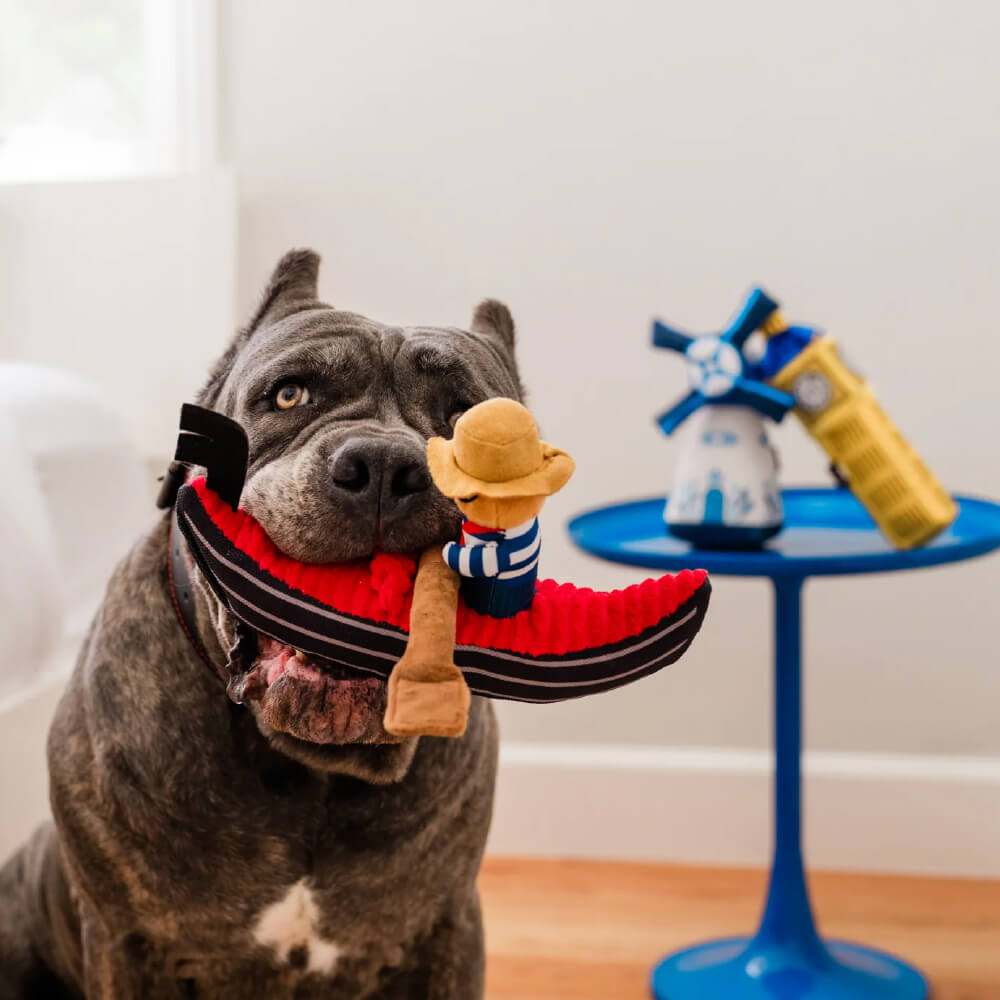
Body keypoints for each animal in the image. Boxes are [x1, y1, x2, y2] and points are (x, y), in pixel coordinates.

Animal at [0, 248, 516, 992]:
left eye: (468, 422)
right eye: (290, 395)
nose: (385, 466)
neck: (313, 768)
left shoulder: (445, 930)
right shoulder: (125, 942)